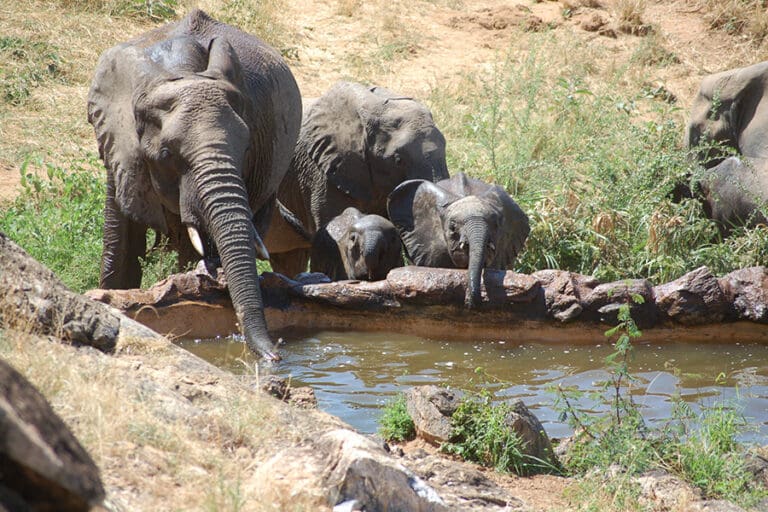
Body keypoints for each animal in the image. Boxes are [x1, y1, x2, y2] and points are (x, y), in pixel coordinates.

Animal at [87, 10, 302, 360]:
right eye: (166, 154)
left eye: (247, 149)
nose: (276, 355)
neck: (180, 69)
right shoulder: (119, 146)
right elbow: (121, 242)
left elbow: (194, 248)